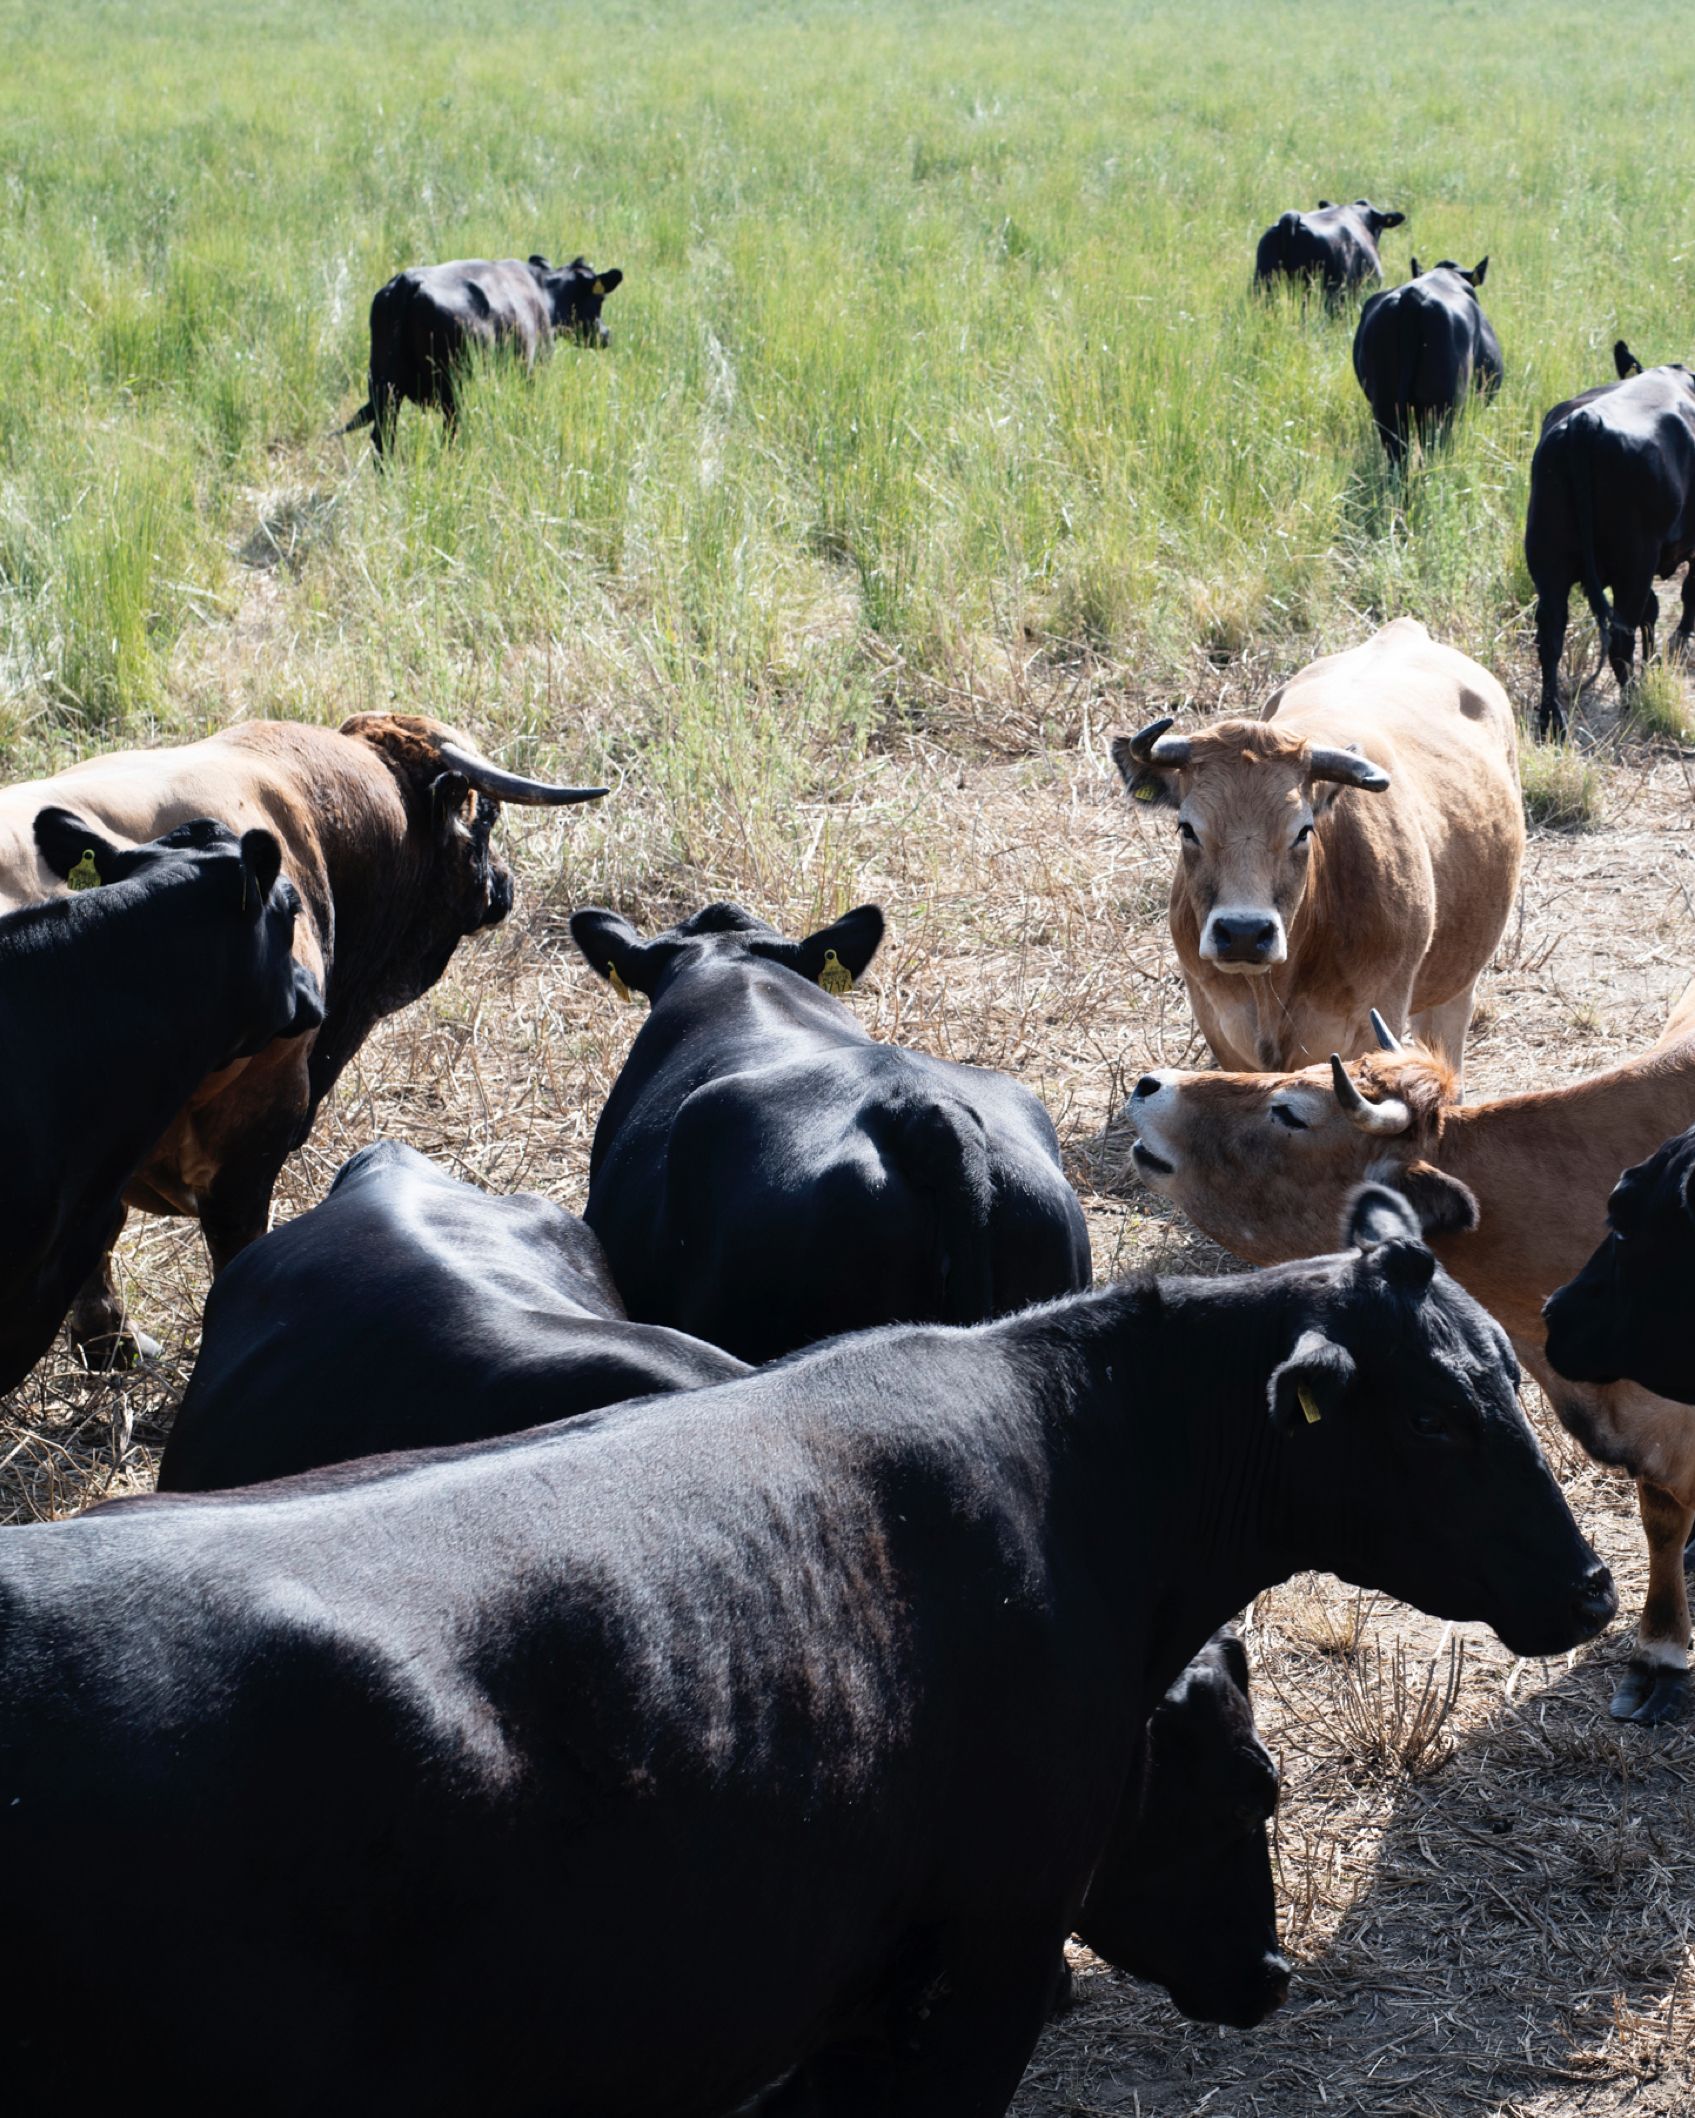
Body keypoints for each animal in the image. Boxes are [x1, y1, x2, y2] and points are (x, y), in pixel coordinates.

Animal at [341, 255, 624, 455]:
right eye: (600, 300)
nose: (607, 335)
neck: (543, 292)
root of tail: (408, 279)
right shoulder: (534, 369)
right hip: (451, 389)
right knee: (449, 433)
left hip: (384, 387)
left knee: (383, 439)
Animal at [1109, 618, 1522, 1085]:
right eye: (1187, 828)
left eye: (1303, 831)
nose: (1244, 933)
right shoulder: (1218, 1024)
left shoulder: (1374, 1023)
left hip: (1456, 987)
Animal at [1524, 344, 1695, 738]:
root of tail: (1584, 422)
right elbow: (1685, 597)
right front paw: (1676, 647)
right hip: (1634, 562)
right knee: (1620, 639)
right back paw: (1633, 703)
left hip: (1548, 560)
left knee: (1550, 636)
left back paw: (1553, 719)